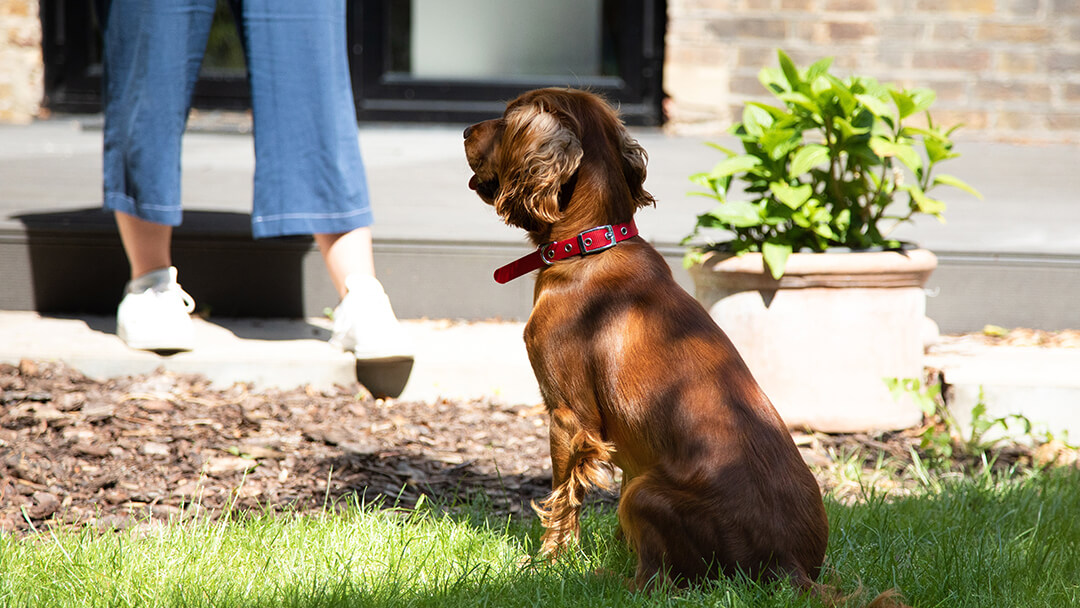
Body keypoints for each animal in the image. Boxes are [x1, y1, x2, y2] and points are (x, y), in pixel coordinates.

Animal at [464, 88, 902, 604]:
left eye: (506, 119)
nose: (465, 131)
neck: (592, 246)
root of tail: (788, 566)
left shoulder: (570, 416)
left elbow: (562, 499)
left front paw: (547, 564)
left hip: (646, 494)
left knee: (657, 583)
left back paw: (603, 579)